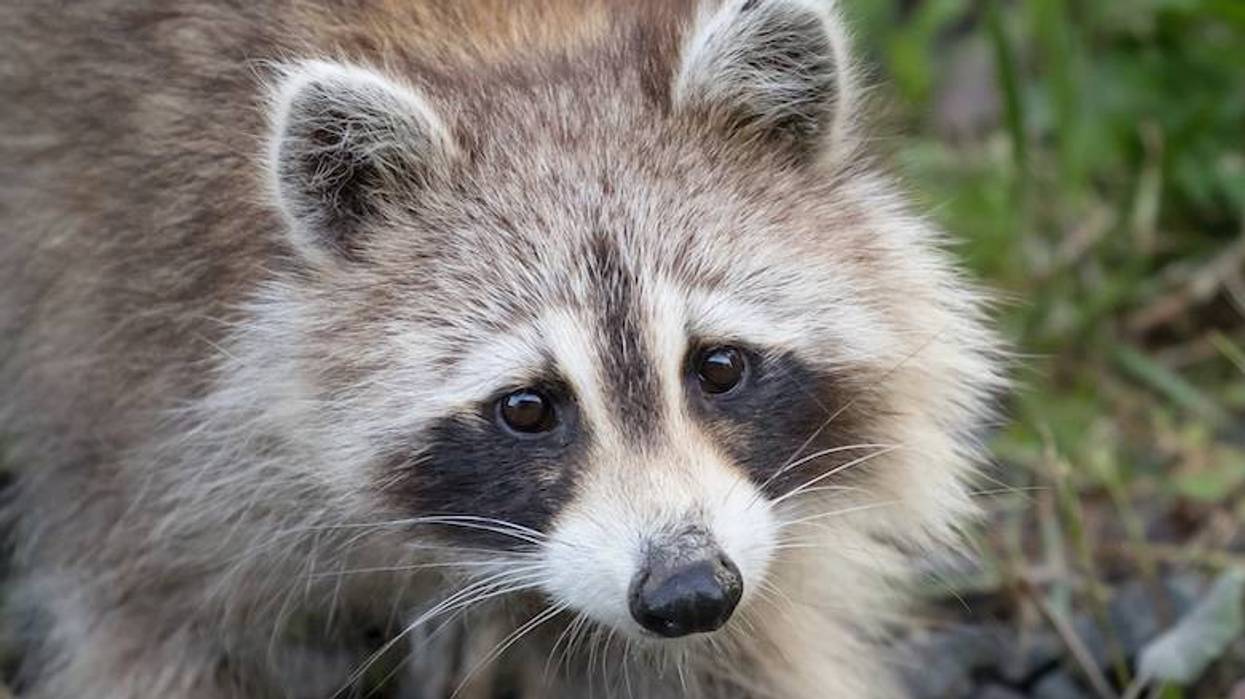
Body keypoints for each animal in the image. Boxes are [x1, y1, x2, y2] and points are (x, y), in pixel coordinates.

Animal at [0, 0, 1002, 697]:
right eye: (527, 407)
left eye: (718, 366)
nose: (686, 592)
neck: (497, 45)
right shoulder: (130, 404)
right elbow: (158, 632)